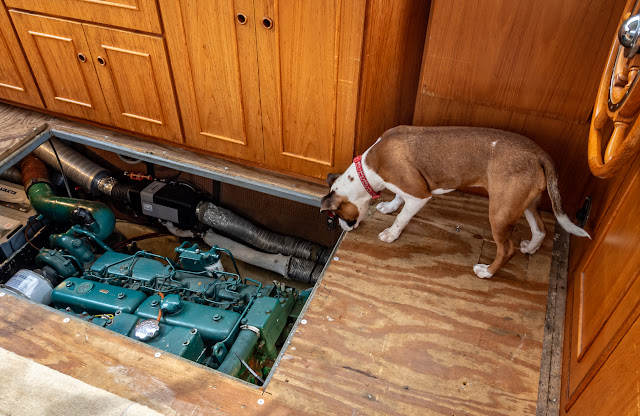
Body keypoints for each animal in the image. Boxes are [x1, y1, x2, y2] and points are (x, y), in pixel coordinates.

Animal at [320, 125, 592, 278]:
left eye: (337, 216)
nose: (342, 228)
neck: (367, 170)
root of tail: (538, 153)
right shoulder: (407, 187)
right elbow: (398, 197)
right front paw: (390, 206)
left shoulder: (419, 195)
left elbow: (402, 218)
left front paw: (391, 233)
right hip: (525, 203)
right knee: (541, 229)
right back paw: (531, 247)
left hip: (500, 212)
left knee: (507, 250)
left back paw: (487, 272)